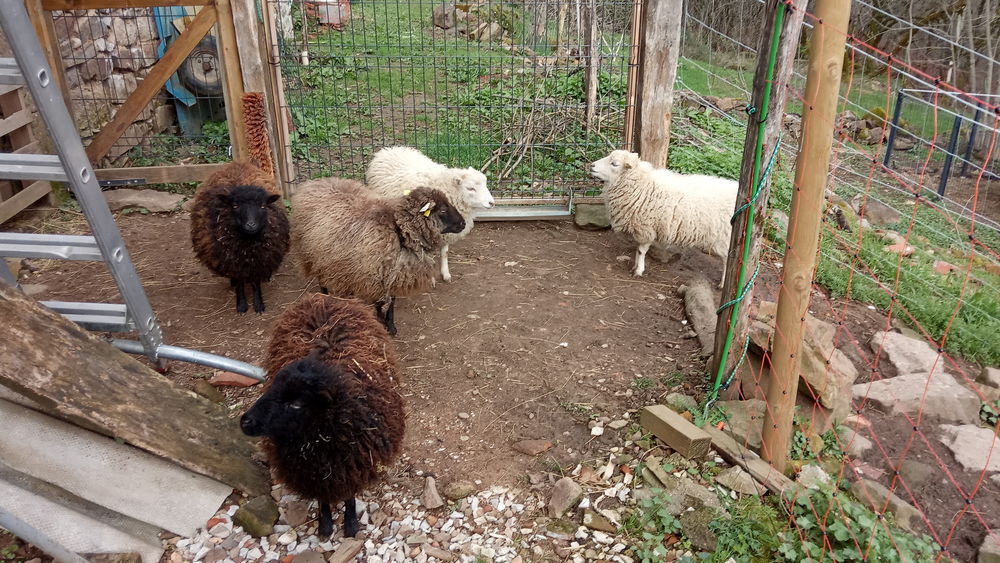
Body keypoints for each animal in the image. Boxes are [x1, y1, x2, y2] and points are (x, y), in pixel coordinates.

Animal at [190, 161, 290, 314]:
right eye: (235, 205)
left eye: (262, 206)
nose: (251, 225)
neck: (247, 247)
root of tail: (236, 163)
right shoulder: (232, 262)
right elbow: (239, 284)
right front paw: (241, 304)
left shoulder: (259, 259)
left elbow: (255, 283)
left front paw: (258, 304)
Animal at [240, 293, 404, 539]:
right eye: (272, 388)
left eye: (296, 404)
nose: (245, 422)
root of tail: (325, 298)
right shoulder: (316, 473)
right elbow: (322, 498)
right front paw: (325, 525)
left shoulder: (350, 464)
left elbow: (349, 496)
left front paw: (350, 524)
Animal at [290, 177, 466, 335]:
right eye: (443, 210)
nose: (463, 223)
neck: (398, 231)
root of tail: (312, 183)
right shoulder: (374, 275)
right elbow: (380, 304)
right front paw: (382, 325)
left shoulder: (392, 274)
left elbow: (392, 301)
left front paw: (391, 326)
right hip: (314, 255)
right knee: (322, 281)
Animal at [365, 146, 494, 282]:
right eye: (470, 188)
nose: (492, 203)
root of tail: (389, 149)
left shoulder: (446, 232)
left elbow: (444, 252)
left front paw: (445, 273)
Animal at [590, 150, 737, 288]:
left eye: (614, 164)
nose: (591, 165)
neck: (642, 186)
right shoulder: (641, 229)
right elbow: (638, 249)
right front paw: (635, 266)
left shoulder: (646, 228)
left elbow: (641, 251)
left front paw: (639, 270)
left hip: (725, 237)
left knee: (727, 261)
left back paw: (722, 284)